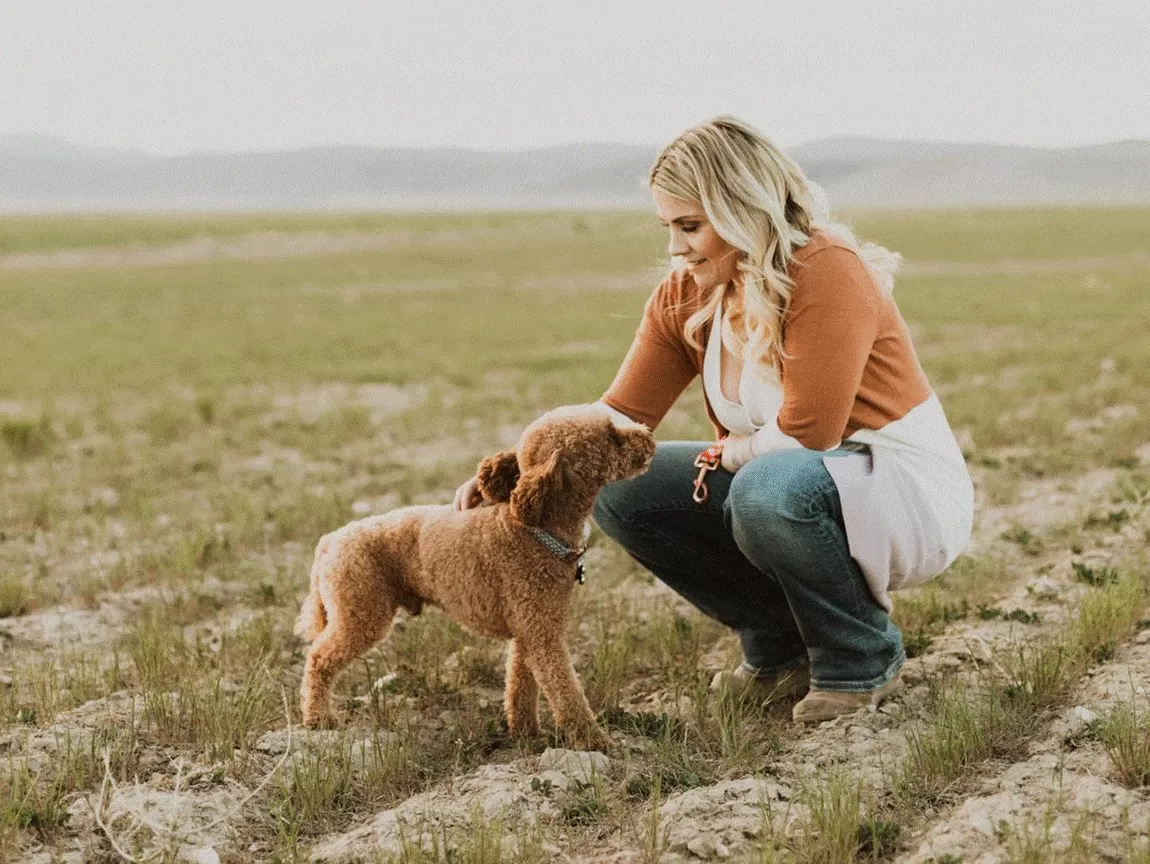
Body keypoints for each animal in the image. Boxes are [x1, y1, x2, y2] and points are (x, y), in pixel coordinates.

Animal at [294, 404, 657, 750]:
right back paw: (318, 717)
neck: (534, 529)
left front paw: (526, 735)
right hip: (361, 612)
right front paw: (595, 741)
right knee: (318, 658)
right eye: (610, 435)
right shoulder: (543, 635)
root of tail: (329, 542)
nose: (649, 437)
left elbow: (521, 686)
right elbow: (565, 690)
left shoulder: (529, 629)